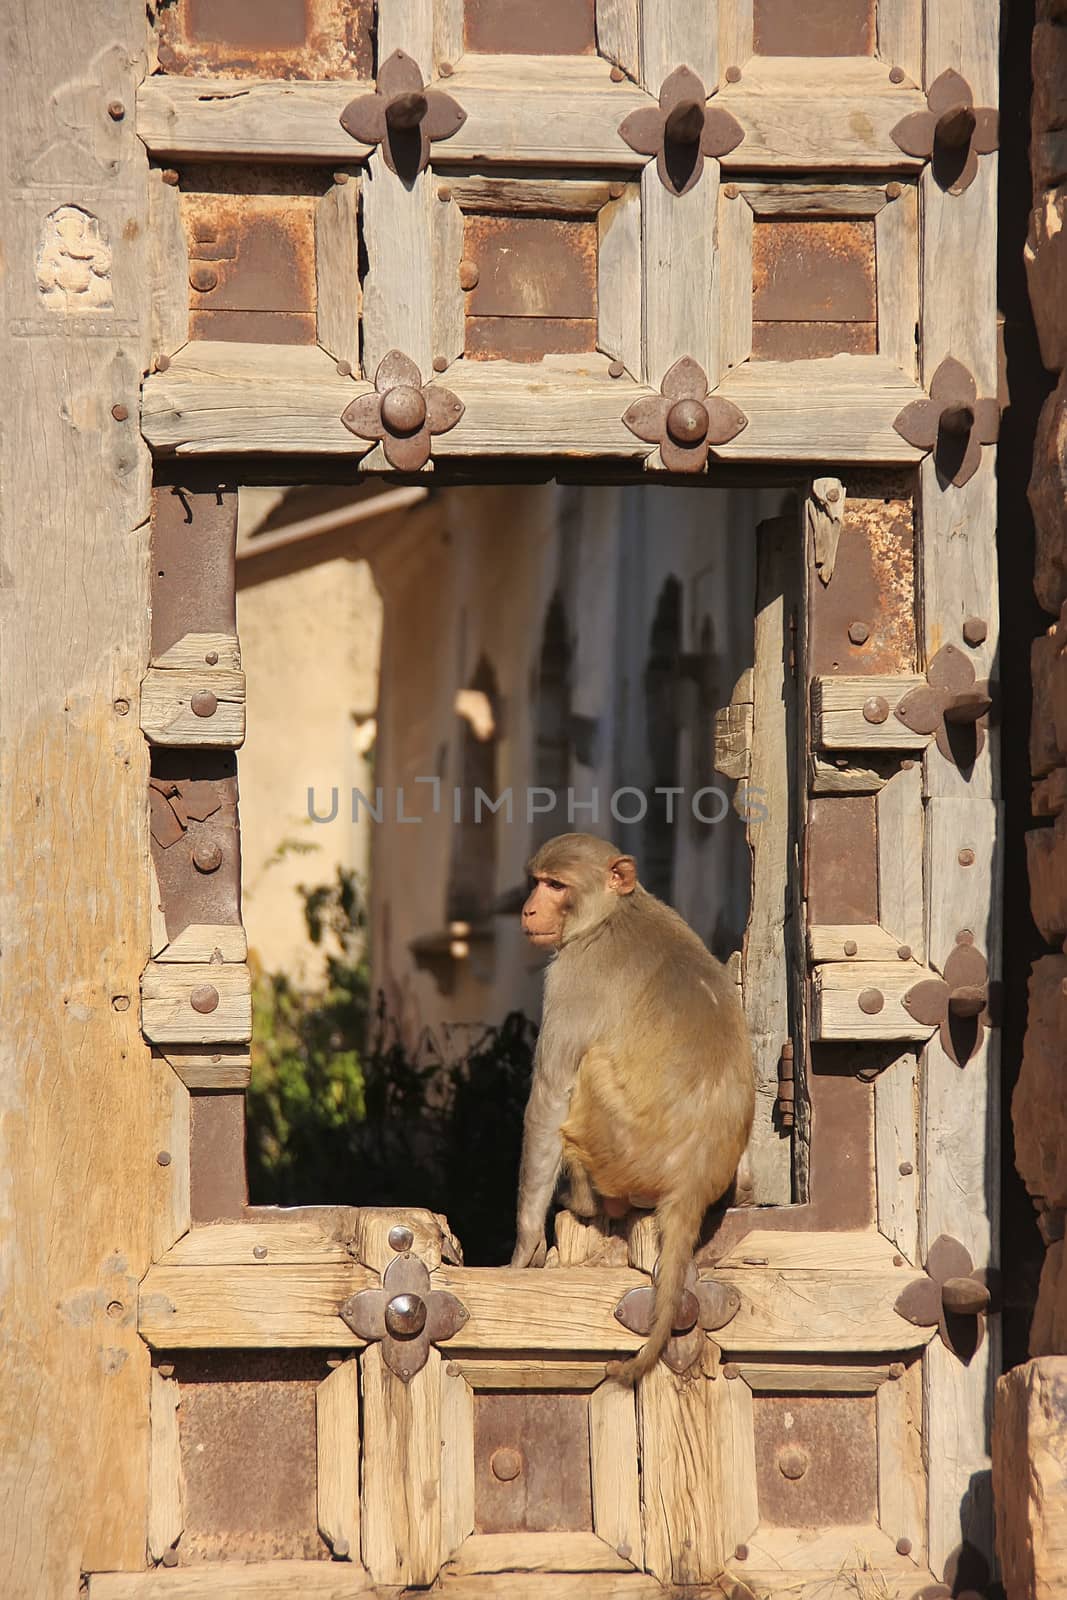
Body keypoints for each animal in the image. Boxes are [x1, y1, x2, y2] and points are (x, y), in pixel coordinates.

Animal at [515, 832, 751, 1382]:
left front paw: (524, 1242)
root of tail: (691, 1180)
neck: (613, 912)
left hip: (618, 1147)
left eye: (555, 885)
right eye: (537, 881)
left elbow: (551, 1094)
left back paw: (588, 1203)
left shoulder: (572, 977)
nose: (528, 908)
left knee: (588, 1069)